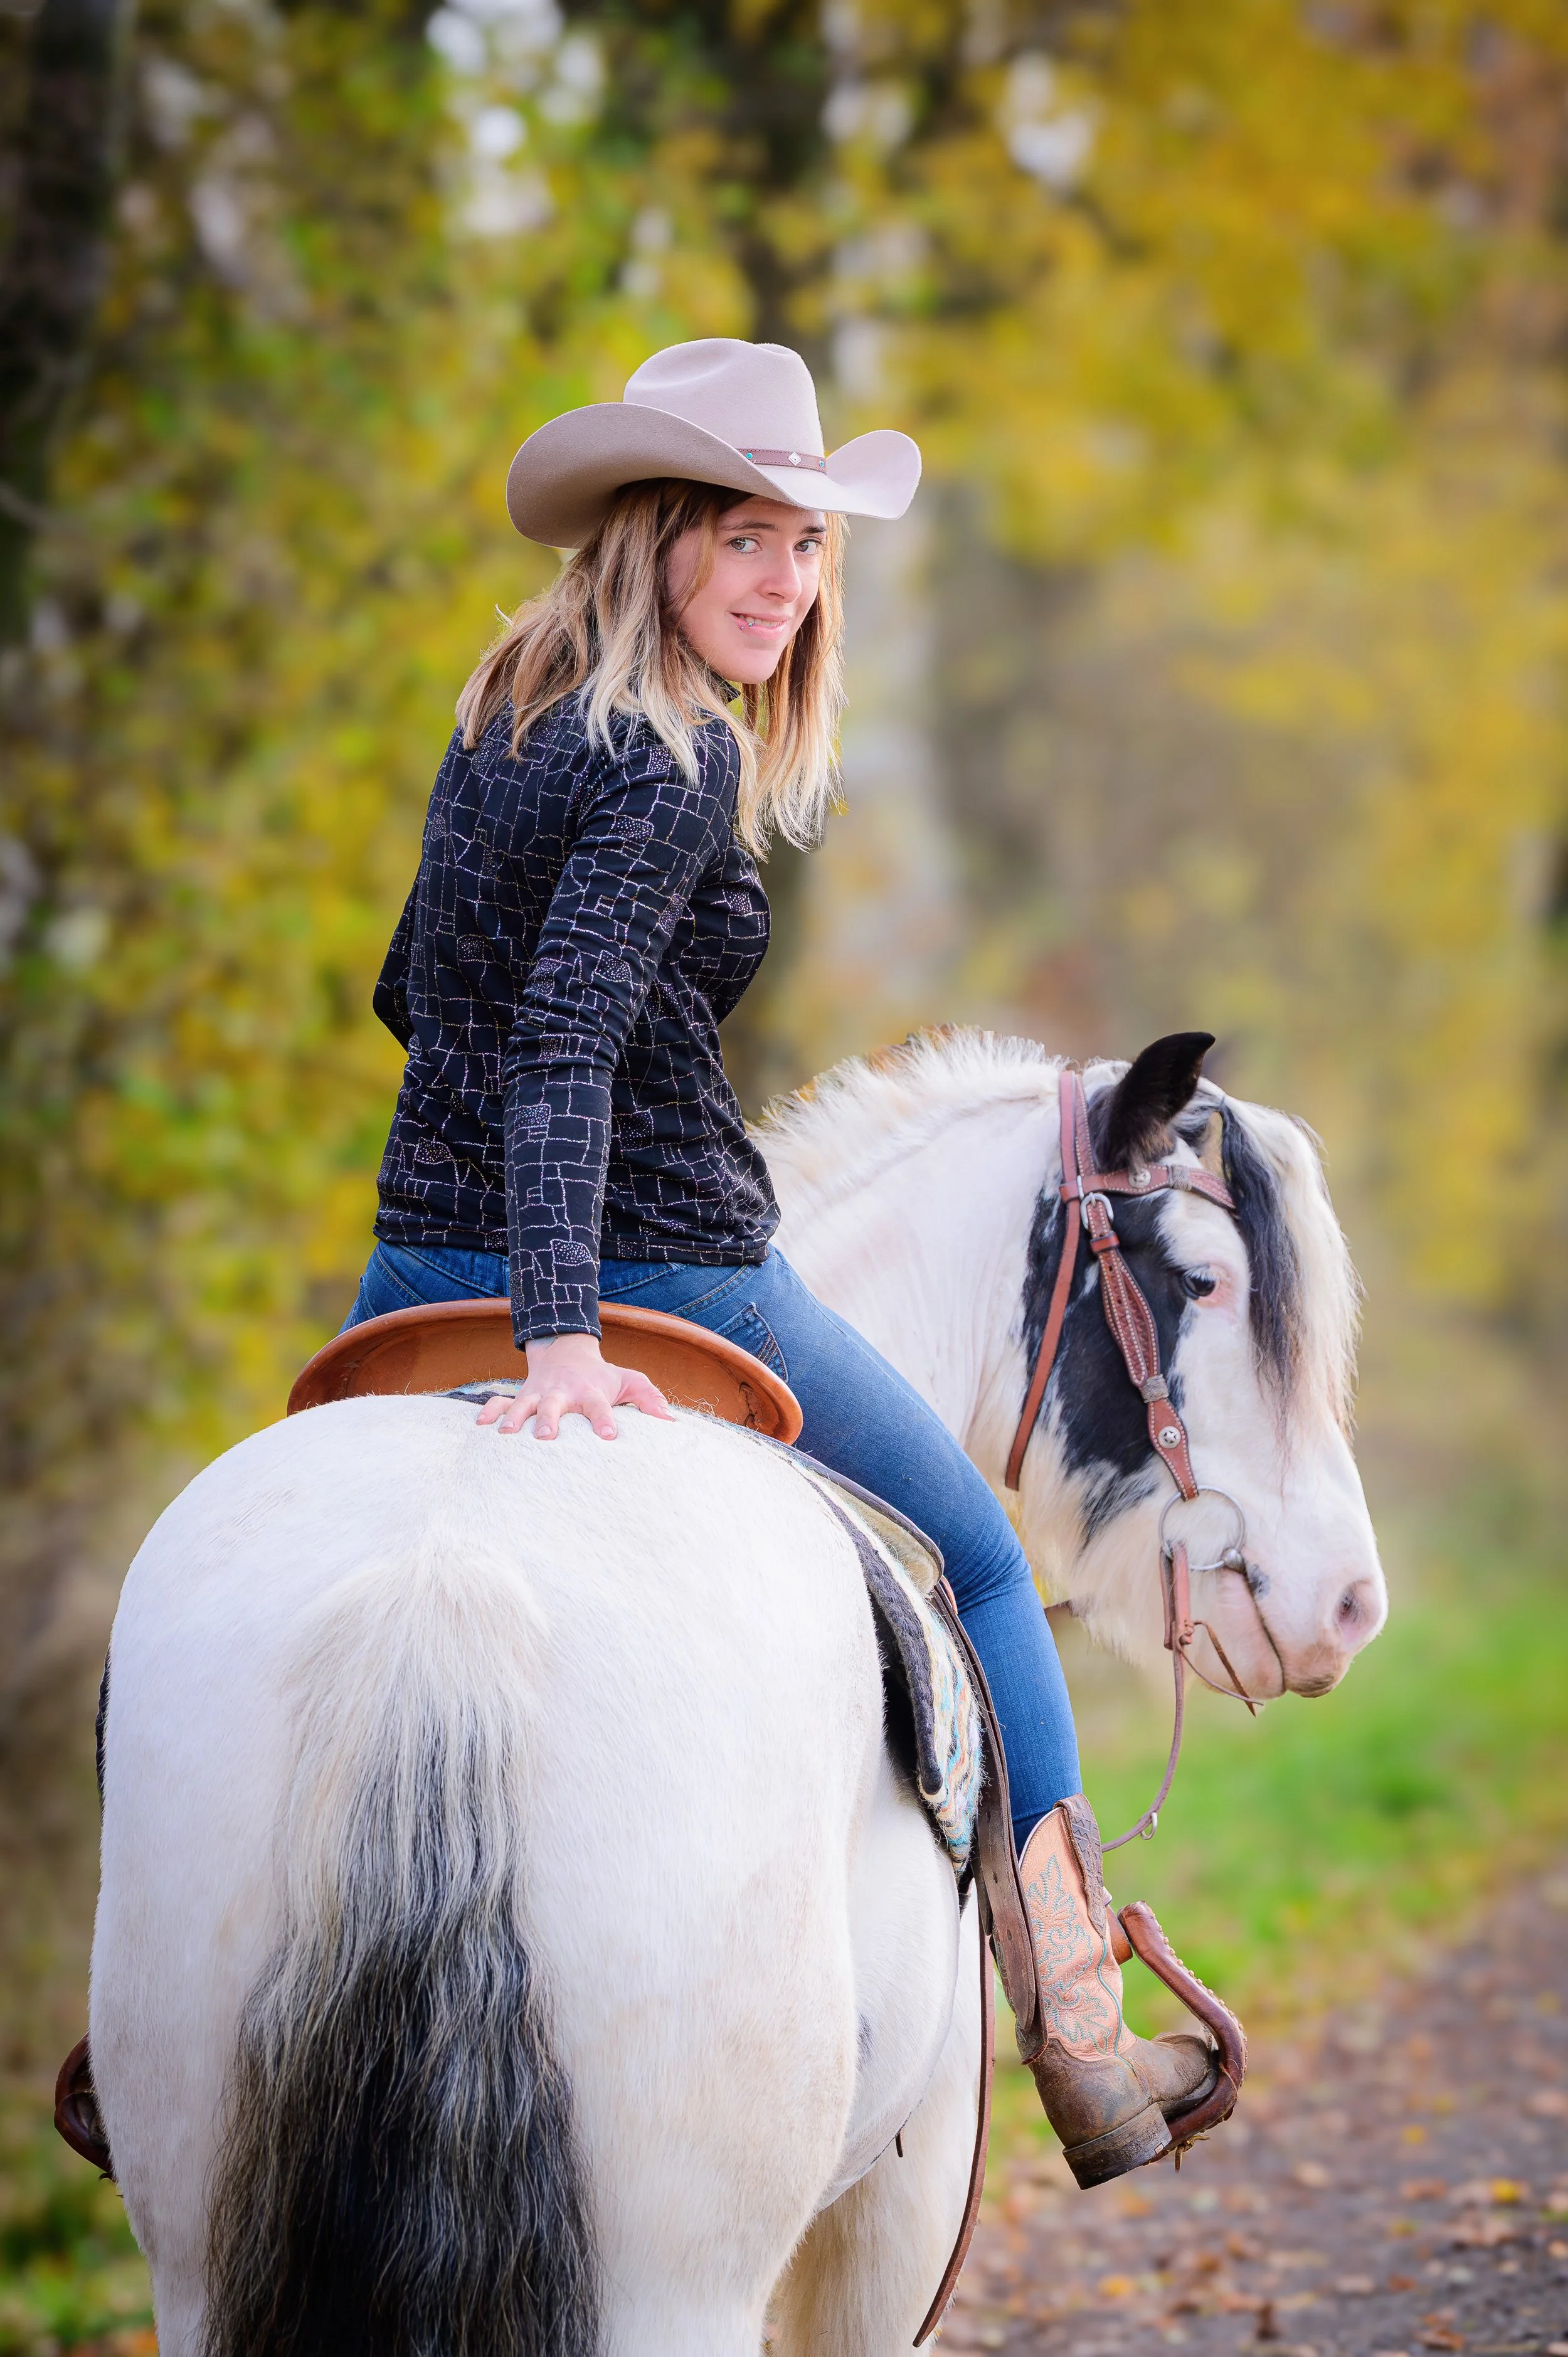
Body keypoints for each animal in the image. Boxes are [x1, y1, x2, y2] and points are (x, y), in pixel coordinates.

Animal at [87, 1030, 1384, 2357]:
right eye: (1205, 1281)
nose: (1349, 1603)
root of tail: (443, 1588)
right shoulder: (906, 2193)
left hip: (203, 2249)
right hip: (679, 2275)